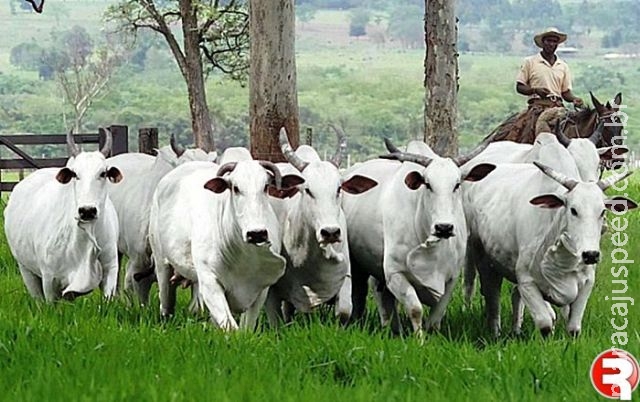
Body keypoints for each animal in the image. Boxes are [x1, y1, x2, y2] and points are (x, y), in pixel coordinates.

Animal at [4, 130, 123, 300]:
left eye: (103, 173)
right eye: (75, 174)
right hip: (26, 270)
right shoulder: (49, 280)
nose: (87, 210)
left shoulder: (110, 268)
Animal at [149, 157, 304, 330]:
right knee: (166, 303)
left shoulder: (261, 288)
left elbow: (245, 327)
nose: (256, 234)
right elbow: (230, 326)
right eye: (235, 188)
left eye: (265, 187)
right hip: (161, 264)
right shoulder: (210, 282)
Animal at [266, 127, 380, 326]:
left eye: (339, 189)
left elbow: (344, 311)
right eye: (307, 190)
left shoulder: (345, 277)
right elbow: (276, 319)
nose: (330, 232)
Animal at [340, 140, 496, 334]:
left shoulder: (451, 279)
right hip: (358, 266)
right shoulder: (395, 273)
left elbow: (436, 317)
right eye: (427, 184)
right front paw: (418, 338)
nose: (444, 227)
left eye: (457, 184)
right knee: (363, 294)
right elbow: (415, 309)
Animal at [464, 162, 636, 338]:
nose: (591, 255)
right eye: (573, 210)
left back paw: (516, 330)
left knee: (515, 295)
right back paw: (495, 333)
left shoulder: (587, 284)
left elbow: (573, 328)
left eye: (602, 211)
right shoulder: (526, 281)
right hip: (484, 261)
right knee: (492, 298)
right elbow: (545, 324)